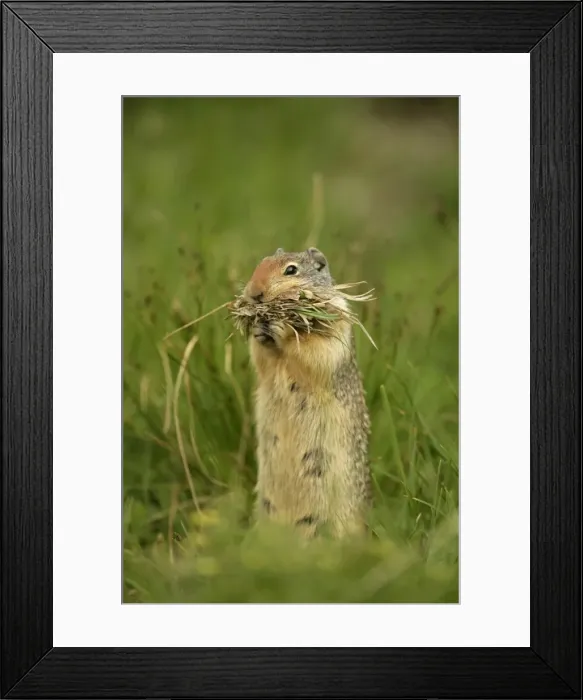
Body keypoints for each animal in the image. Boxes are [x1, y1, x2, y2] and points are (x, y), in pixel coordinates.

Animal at [242, 246, 372, 538]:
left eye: (291, 270)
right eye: (261, 262)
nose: (254, 293)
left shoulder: (336, 323)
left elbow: (315, 350)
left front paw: (279, 325)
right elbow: (260, 358)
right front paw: (259, 328)